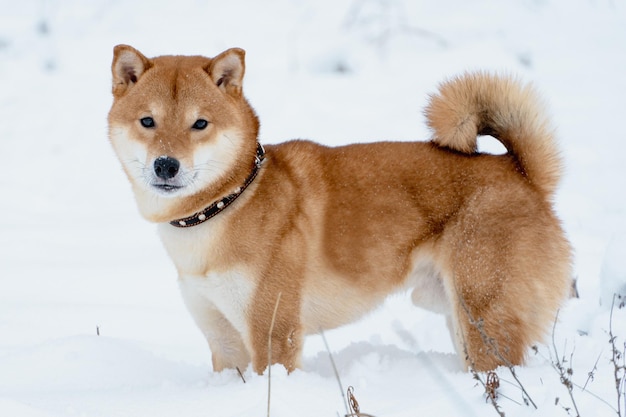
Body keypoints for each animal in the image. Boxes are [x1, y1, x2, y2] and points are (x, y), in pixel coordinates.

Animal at [106, 44, 572, 372]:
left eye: (200, 123)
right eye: (147, 121)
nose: (166, 165)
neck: (227, 202)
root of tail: (521, 172)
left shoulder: (273, 332)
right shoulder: (224, 339)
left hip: (484, 318)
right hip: (457, 316)